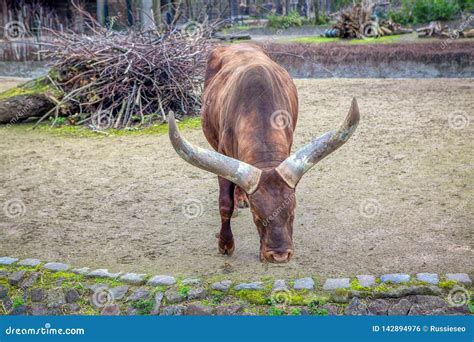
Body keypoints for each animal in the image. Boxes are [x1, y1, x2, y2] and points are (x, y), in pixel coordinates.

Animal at [168, 44, 358, 264]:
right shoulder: (222, 153)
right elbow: (225, 204)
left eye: (292, 213)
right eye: (257, 216)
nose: (279, 255)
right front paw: (225, 245)